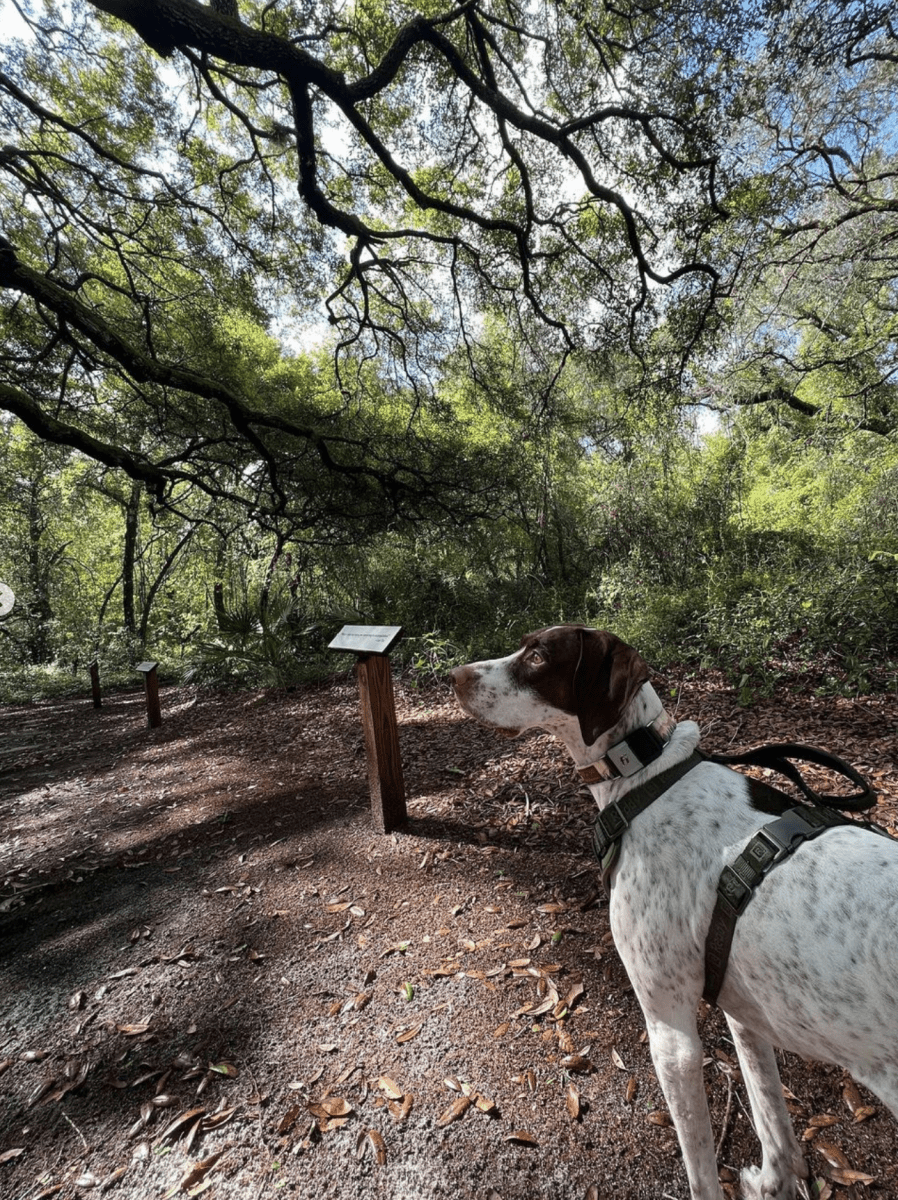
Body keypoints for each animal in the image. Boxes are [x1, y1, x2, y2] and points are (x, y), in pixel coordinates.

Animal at [451, 628, 897, 1200]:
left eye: (537, 655)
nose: (453, 676)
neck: (646, 778)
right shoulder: (744, 1012)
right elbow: (773, 1125)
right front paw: (769, 1181)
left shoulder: (672, 1036)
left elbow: (701, 1172)